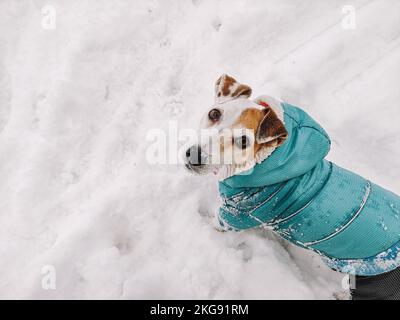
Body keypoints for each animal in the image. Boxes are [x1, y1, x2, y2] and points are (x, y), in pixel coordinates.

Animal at [185, 75, 400, 300]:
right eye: (214, 113)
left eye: (244, 141)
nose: (196, 156)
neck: (263, 160)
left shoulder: (236, 213)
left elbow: (218, 222)